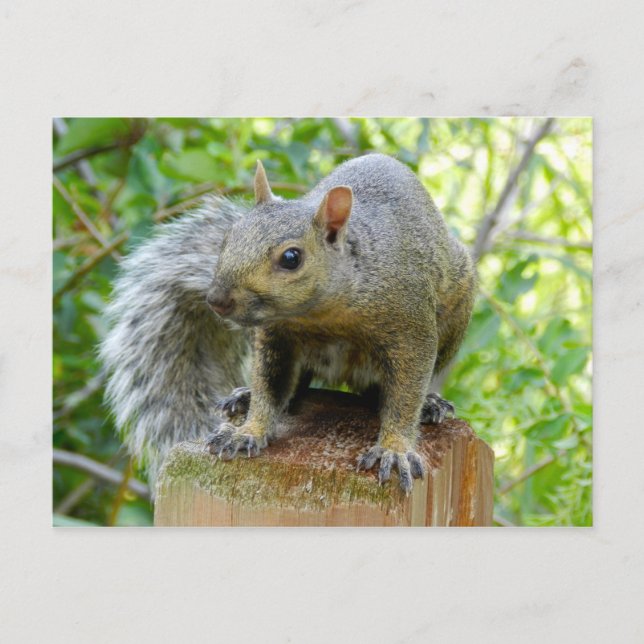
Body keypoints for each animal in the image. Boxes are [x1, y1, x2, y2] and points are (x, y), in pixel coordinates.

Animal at [101, 154, 476, 492]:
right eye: (228, 238)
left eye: (292, 258)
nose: (217, 299)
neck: (323, 314)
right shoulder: (276, 338)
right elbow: (271, 385)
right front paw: (248, 431)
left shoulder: (410, 328)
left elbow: (404, 394)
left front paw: (394, 450)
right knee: (297, 387)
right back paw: (245, 396)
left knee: (380, 390)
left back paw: (430, 404)